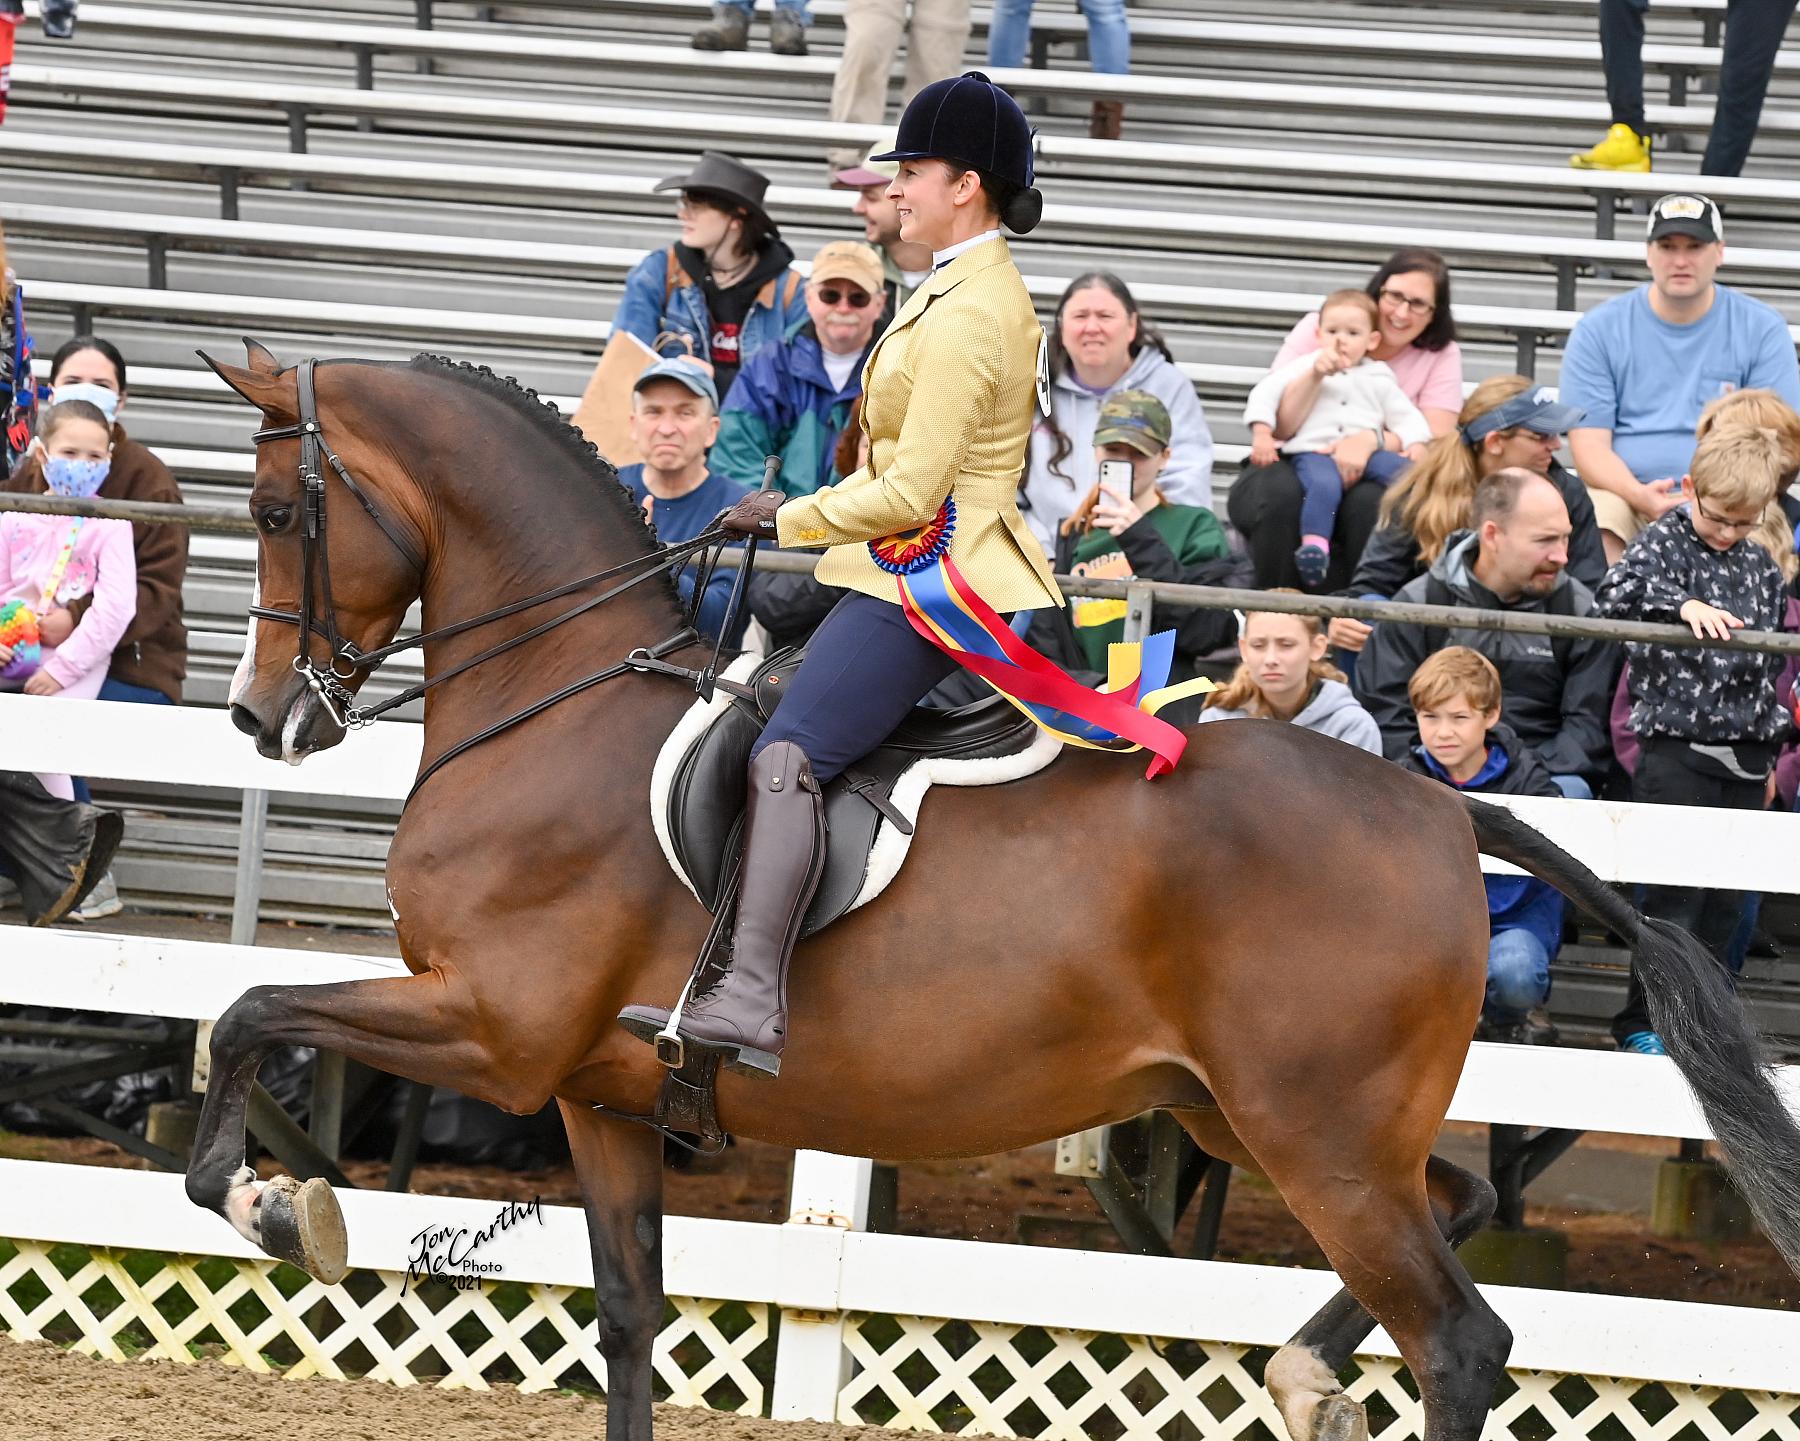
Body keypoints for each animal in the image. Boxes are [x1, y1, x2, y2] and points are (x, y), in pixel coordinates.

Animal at [192, 340, 1800, 1441]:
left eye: (273, 509)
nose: (262, 720)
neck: (559, 701)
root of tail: (1434, 802)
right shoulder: (595, 1089)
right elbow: (635, 1314)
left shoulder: (495, 1024)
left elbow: (247, 1012)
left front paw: (279, 1206)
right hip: (1269, 1116)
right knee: (1459, 1201)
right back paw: (1306, 1371)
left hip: (1315, 1134)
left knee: (1463, 1344)